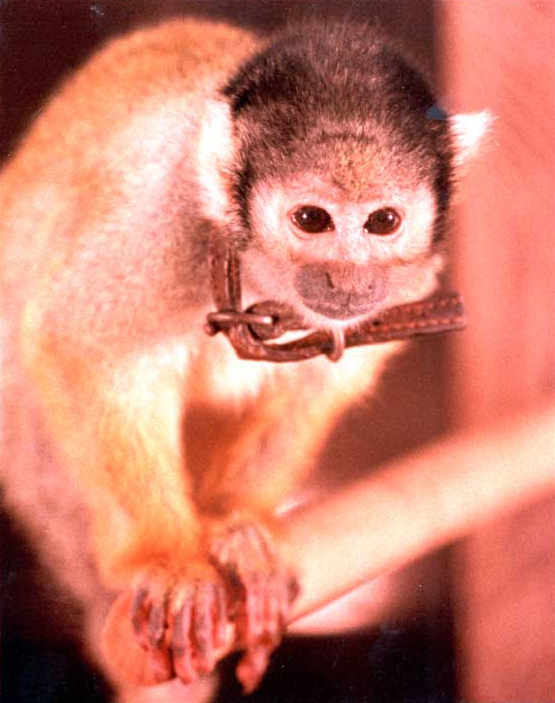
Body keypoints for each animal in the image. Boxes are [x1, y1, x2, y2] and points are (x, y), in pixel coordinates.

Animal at [0, 16, 489, 701]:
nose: (345, 281)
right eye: (311, 219)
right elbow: (80, 344)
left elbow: (316, 387)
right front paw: (166, 555)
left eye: (383, 222)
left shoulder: (406, 289)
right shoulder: (161, 222)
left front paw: (238, 528)